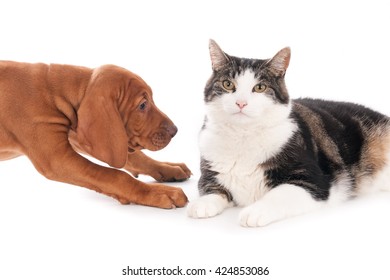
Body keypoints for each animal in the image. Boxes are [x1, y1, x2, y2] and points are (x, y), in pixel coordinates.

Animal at [0, 62, 190, 209]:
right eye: (143, 105)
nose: (175, 130)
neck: (56, 93)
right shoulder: (57, 158)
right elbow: (115, 175)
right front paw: (158, 192)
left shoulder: (80, 136)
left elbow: (135, 158)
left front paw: (167, 167)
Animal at [185, 39, 390, 226]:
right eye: (228, 84)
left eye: (260, 88)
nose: (241, 103)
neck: (242, 135)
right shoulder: (209, 171)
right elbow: (210, 188)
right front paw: (201, 204)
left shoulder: (312, 182)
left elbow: (278, 194)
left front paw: (254, 212)